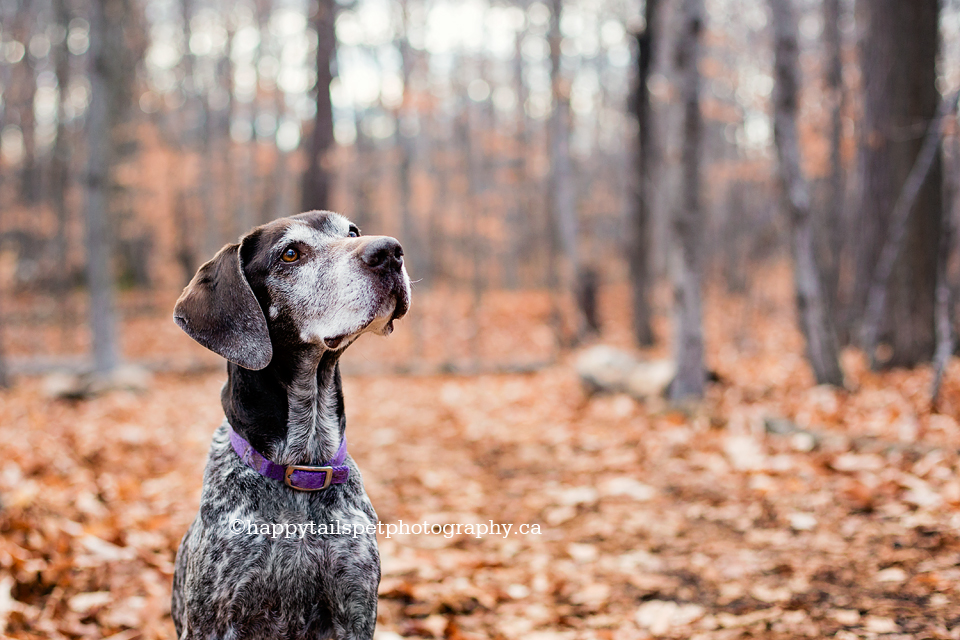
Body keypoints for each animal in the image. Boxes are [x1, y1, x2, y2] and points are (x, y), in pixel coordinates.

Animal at [171, 211, 410, 640]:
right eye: (290, 254)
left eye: (352, 232)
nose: (389, 251)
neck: (302, 466)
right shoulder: (216, 620)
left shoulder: (356, 607)